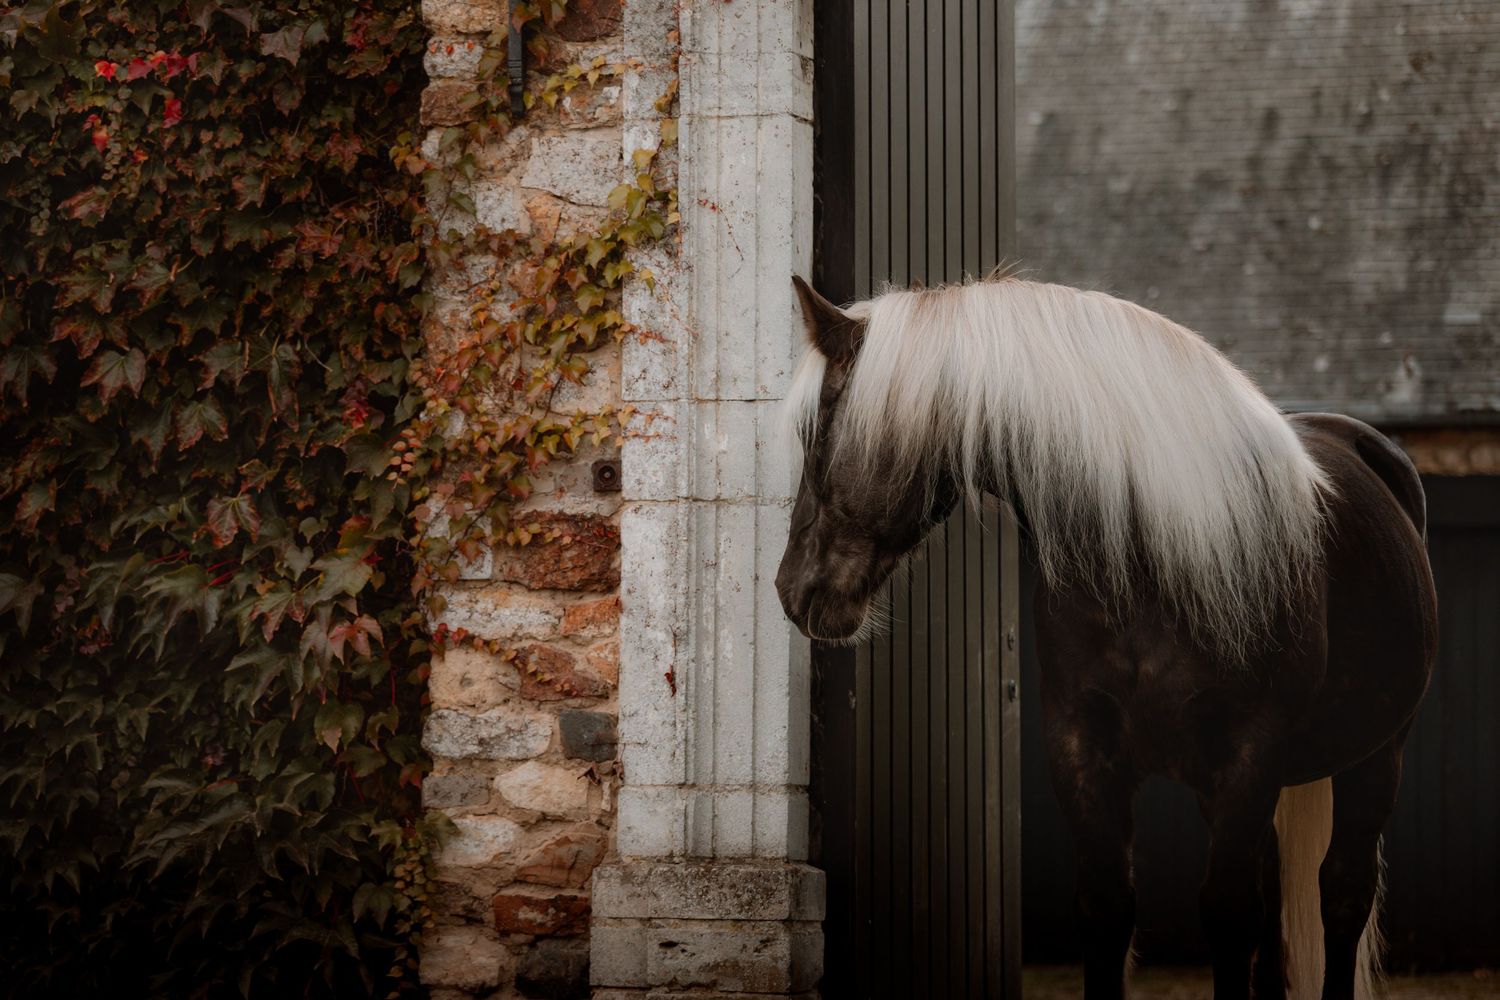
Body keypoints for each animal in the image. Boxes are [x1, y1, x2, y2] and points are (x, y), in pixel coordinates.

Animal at [775, 274, 1437, 1000]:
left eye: (816, 429)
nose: (791, 588)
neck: (1149, 560)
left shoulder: (1248, 761)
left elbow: (1230, 916)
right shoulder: (1085, 756)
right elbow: (1108, 911)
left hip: (1376, 758)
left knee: (1340, 896)